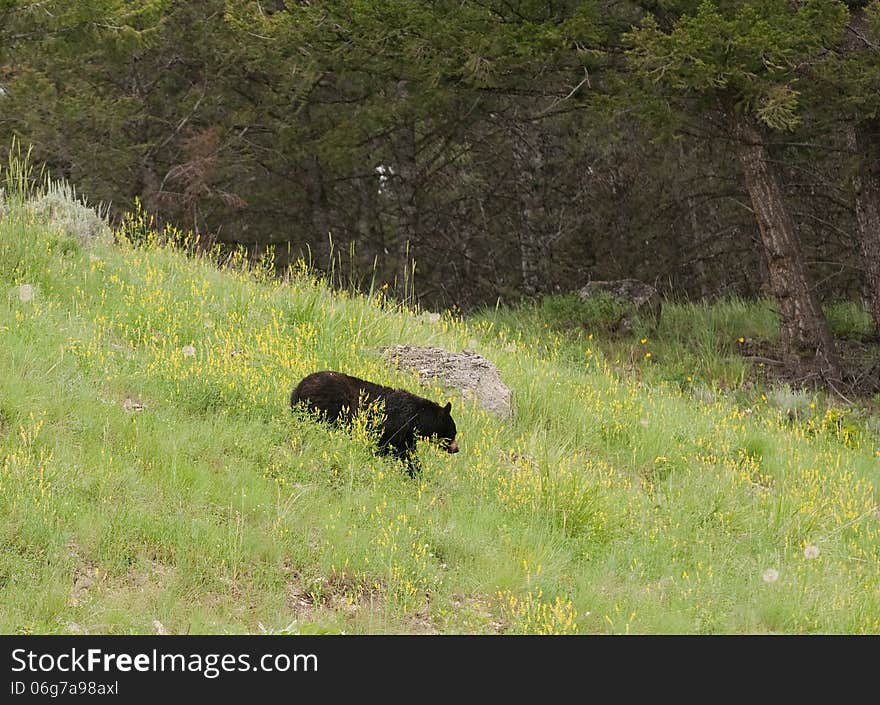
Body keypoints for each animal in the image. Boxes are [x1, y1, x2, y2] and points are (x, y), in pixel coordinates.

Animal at [292, 368, 464, 472]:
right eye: (453, 432)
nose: (456, 449)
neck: (415, 418)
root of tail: (298, 388)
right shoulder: (394, 426)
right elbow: (389, 448)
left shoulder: (406, 435)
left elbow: (406, 452)